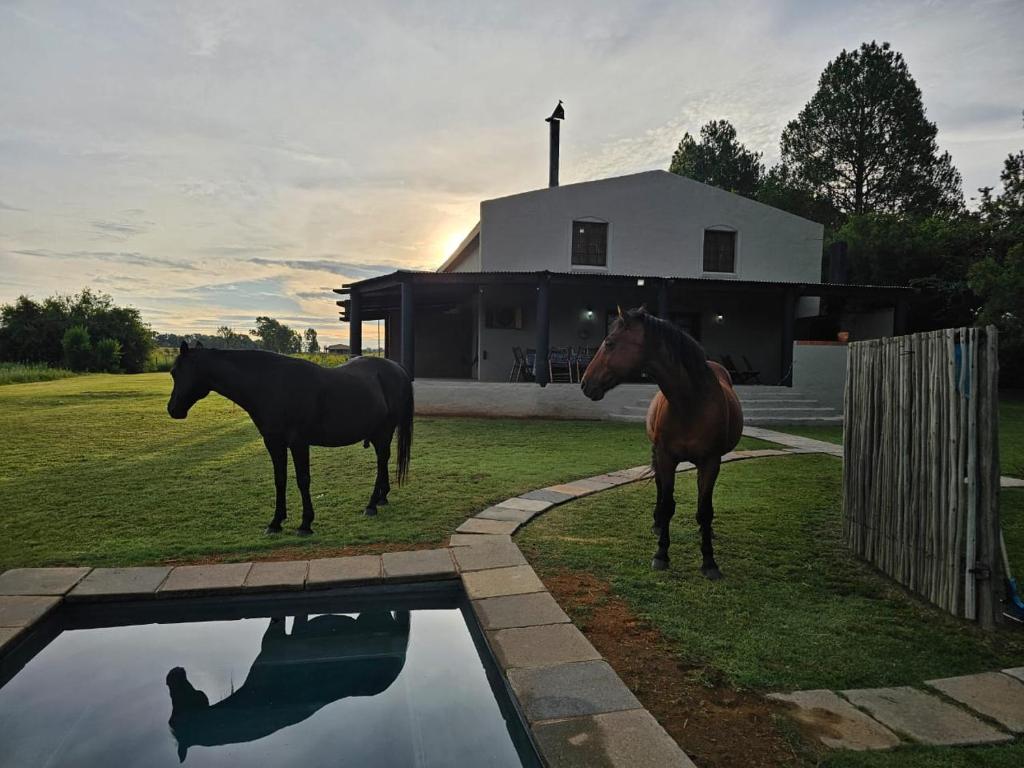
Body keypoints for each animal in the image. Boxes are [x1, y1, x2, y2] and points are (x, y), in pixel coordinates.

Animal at [166, 342, 413, 534]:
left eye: (175, 372)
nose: (172, 409)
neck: (271, 385)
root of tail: (397, 369)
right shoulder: (274, 443)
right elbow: (280, 479)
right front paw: (276, 522)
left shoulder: (299, 443)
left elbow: (303, 480)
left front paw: (305, 524)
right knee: (383, 462)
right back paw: (381, 497)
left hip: (384, 432)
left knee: (381, 462)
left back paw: (371, 505)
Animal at [581, 306, 743, 579]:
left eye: (610, 343)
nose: (584, 384)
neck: (690, 403)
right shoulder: (666, 457)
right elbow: (667, 505)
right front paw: (661, 554)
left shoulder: (711, 462)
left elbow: (705, 510)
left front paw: (709, 562)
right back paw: (657, 524)